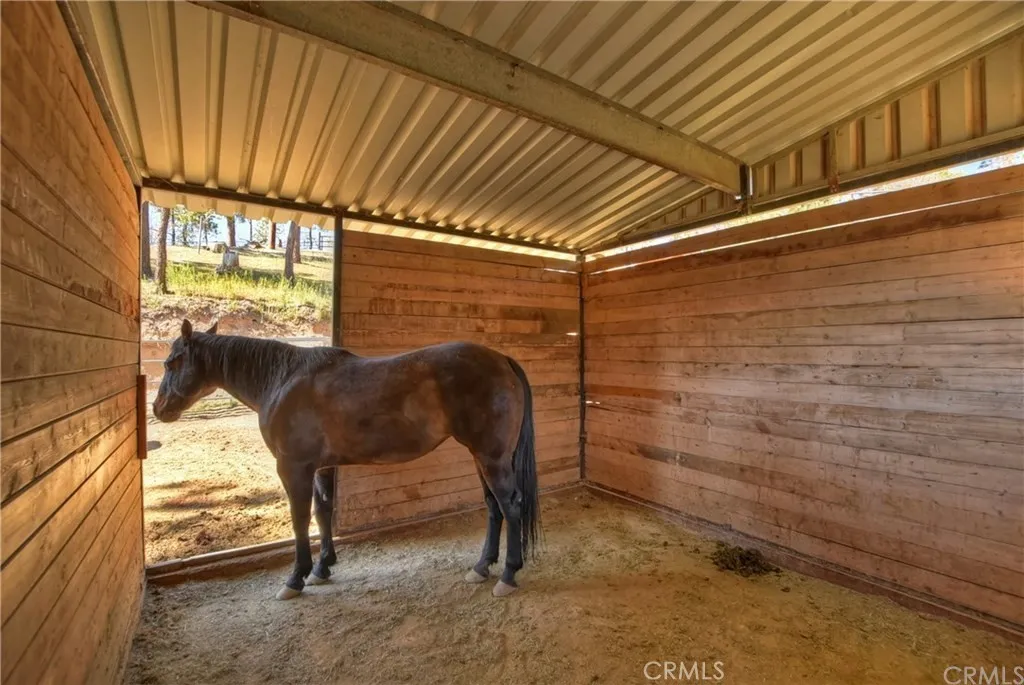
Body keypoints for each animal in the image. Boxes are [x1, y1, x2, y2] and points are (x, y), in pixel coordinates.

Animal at [152, 319, 541, 600]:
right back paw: (481, 568)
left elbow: (299, 520)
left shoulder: (292, 468)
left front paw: (296, 578)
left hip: (491, 457)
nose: (159, 408)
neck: (282, 381)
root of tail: (502, 360)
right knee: (493, 508)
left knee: (510, 506)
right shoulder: (321, 467)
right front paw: (323, 568)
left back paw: (508, 575)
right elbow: (323, 511)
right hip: (481, 456)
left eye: (172, 362)